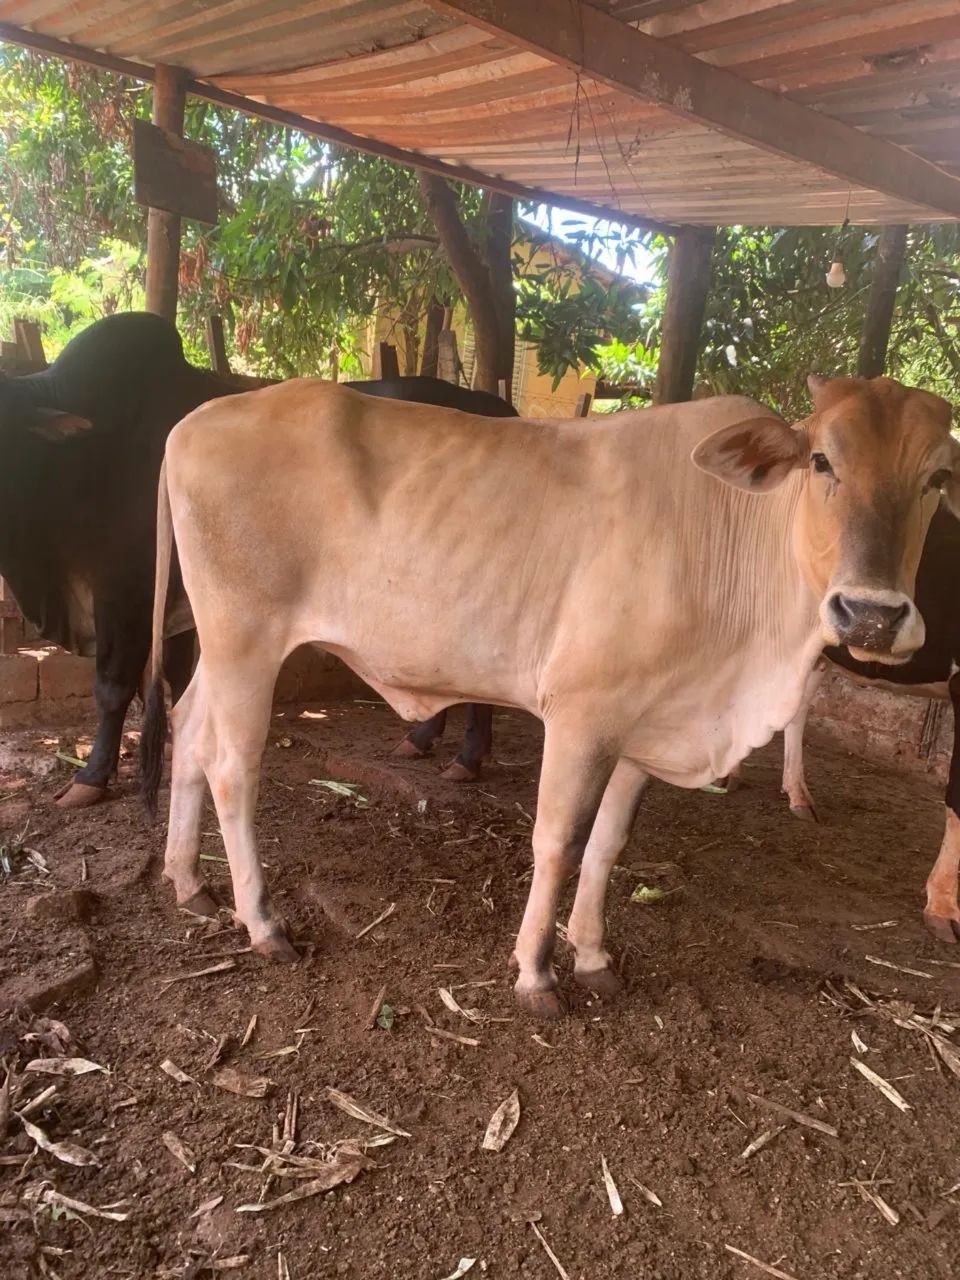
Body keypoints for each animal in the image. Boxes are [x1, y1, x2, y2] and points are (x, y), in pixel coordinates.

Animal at [0, 313, 511, 807]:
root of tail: (491, 404)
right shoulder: (178, 603)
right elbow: (177, 681)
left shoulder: (124, 593)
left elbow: (112, 688)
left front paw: (90, 778)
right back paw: (424, 739)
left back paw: (468, 757)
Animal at [141, 373, 957, 1018]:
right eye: (822, 459)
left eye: (938, 478)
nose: (872, 615)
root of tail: (195, 419)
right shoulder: (581, 715)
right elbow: (559, 841)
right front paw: (536, 973)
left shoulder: (645, 724)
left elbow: (609, 844)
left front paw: (593, 957)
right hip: (246, 637)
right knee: (233, 767)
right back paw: (262, 922)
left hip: (221, 646)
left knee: (189, 730)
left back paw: (187, 881)